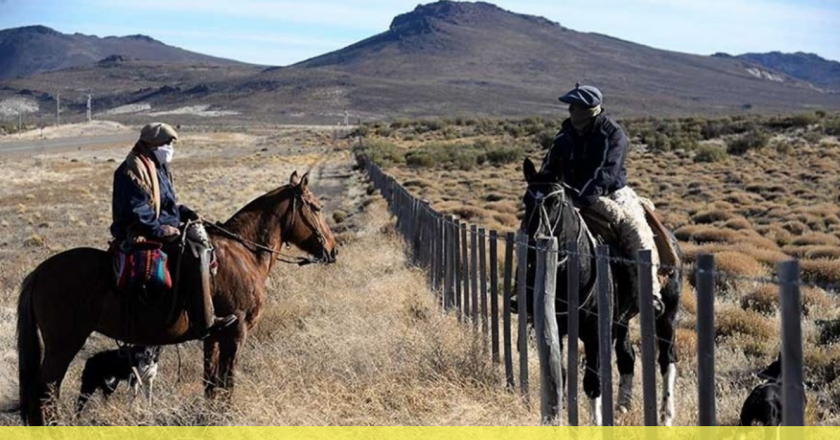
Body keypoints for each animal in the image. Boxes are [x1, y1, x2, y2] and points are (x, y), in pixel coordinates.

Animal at [17, 170, 338, 424]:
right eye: (316, 207)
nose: (333, 250)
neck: (244, 254)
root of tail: (39, 273)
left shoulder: (214, 335)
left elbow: (211, 381)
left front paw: (211, 416)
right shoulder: (236, 332)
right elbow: (227, 380)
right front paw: (227, 417)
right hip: (64, 342)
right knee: (46, 391)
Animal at [520, 159, 684, 426]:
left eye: (555, 202)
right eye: (526, 200)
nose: (534, 242)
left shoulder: (594, 334)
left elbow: (592, 381)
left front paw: (596, 422)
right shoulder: (556, 329)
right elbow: (559, 374)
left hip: (668, 314)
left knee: (667, 359)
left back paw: (666, 416)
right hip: (622, 320)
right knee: (627, 357)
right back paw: (622, 407)